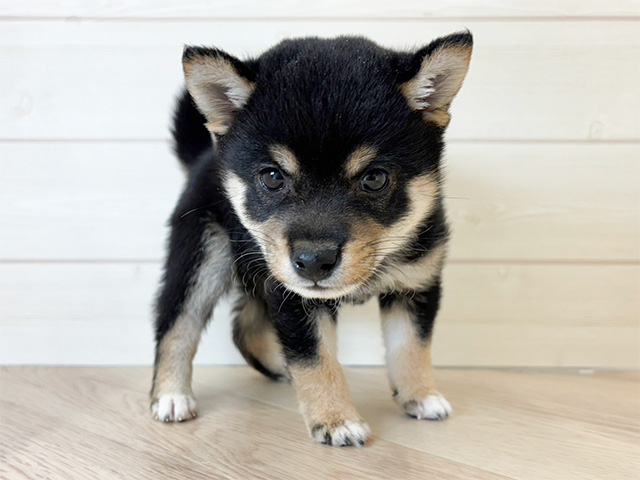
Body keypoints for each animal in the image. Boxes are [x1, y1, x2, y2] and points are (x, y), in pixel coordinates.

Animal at [150, 32, 470, 446]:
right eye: (272, 177)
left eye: (375, 178)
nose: (314, 261)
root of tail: (205, 156)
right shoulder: (295, 299)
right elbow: (316, 360)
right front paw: (335, 419)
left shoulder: (414, 286)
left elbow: (410, 348)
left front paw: (420, 395)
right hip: (203, 257)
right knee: (177, 325)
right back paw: (171, 395)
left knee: (245, 325)